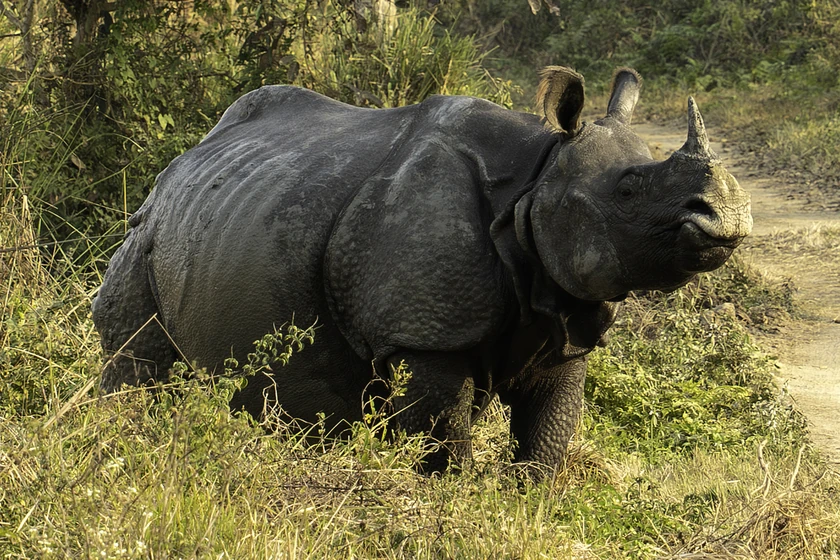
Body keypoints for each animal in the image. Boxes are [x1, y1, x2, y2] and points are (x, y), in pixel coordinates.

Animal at [92, 67, 752, 473]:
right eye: (628, 189)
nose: (727, 214)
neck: (537, 179)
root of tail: (183, 162)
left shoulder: (563, 314)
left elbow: (546, 440)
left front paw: (527, 508)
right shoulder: (424, 330)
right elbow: (442, 439)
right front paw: (451, 504)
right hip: (147, 231)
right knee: (134, 355)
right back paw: (120, 441)